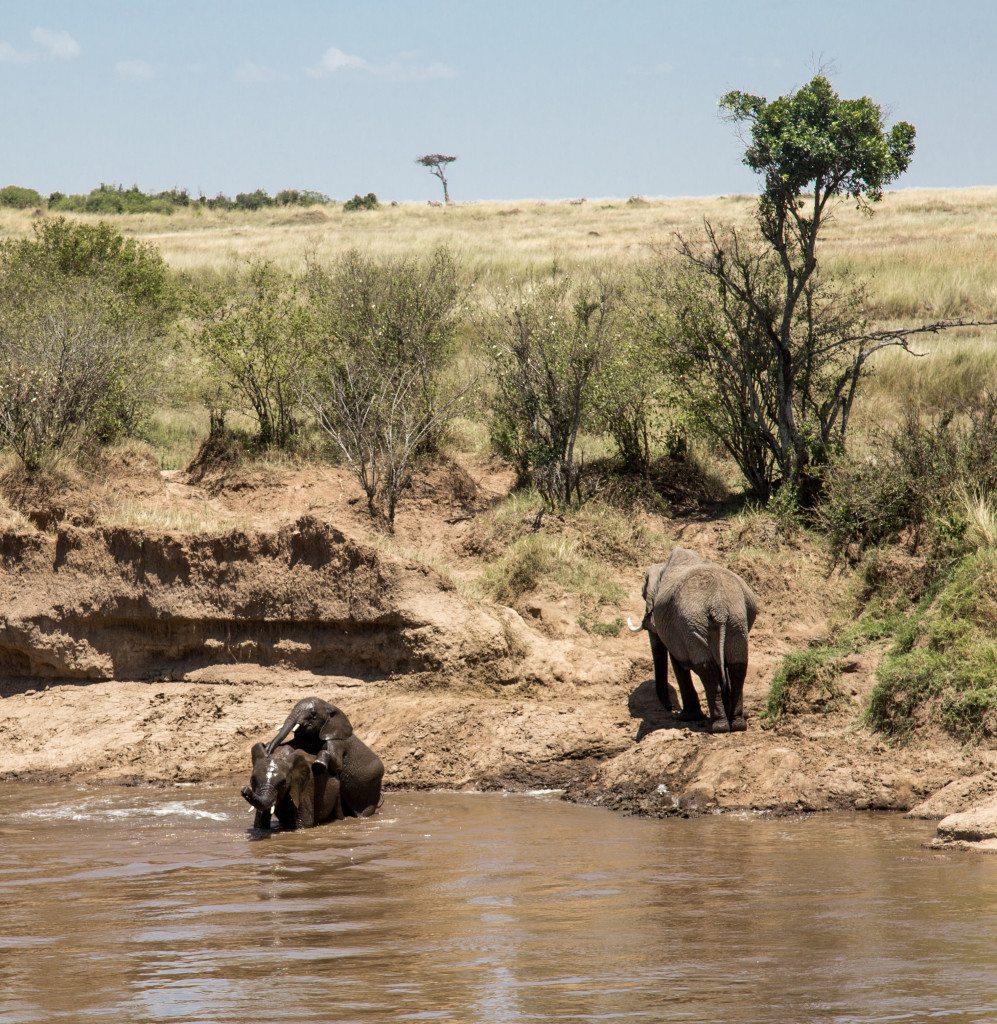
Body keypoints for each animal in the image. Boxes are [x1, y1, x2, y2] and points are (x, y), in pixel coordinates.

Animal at [626, 548, 761, 733]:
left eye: (643, 594)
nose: (670, 708)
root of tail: (719, 607)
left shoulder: (676, 630)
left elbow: (678, 663)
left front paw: (686, 717)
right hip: (736, 620)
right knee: (737, 666)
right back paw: (737, 724)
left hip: (692, 623)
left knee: (706, 668)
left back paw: (719, 726)